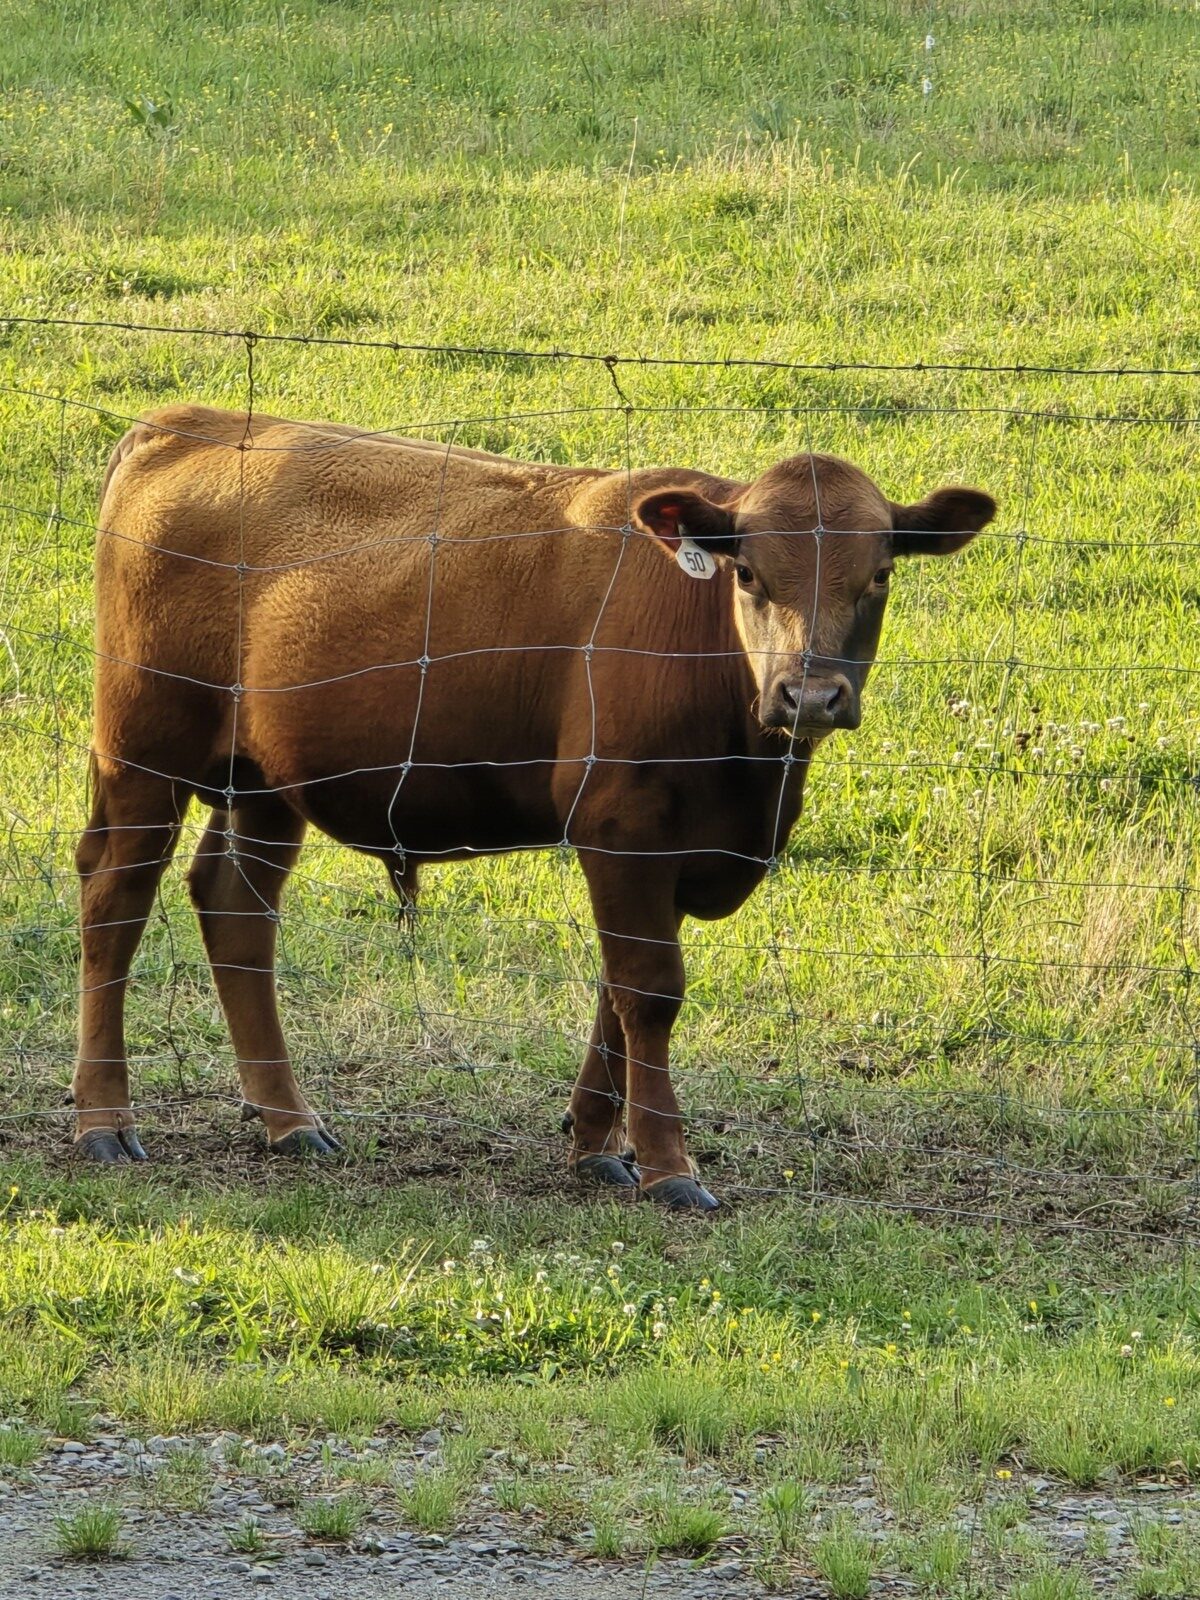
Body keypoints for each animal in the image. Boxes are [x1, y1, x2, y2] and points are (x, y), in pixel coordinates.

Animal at [72, 405, 994, 1207]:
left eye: (879, 575)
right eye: (748, 572)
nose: (809, 695)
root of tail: (191, 421)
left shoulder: (663, 846)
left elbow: (616, 994)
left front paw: (596, 1144)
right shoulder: (624, 828)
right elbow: (650, 992)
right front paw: (669, 1166)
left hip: (264, 779)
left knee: (237, 908)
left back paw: (290, 1120)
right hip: (143, 750)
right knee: (116, 901)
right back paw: (103, 1121)